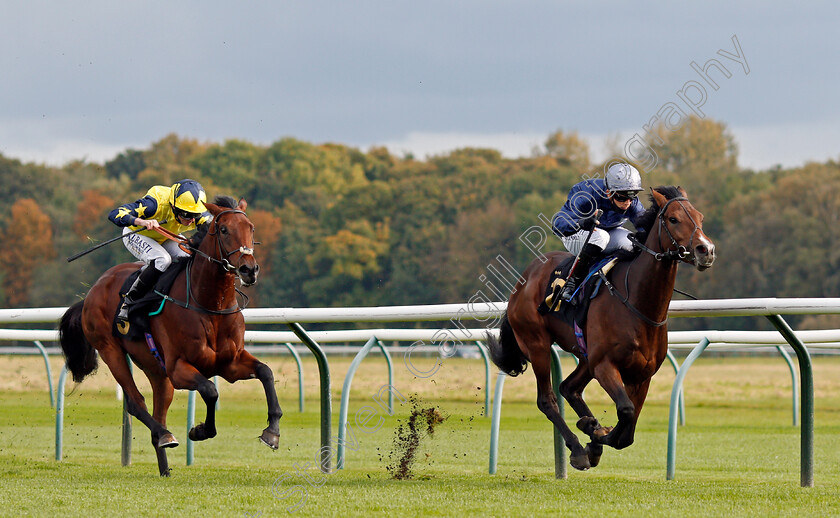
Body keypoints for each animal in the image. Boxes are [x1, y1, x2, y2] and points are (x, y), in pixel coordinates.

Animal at [60, 196, 282, 480]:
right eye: (224, 230)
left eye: (251, 227)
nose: (249, 269)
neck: (210, 305)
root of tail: (92, 291)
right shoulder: (179, 369)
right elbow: (210, 391)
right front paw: (199, 431)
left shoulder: (229, 364)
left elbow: (265, 372)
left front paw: (272, 432)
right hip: (111, 351)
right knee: (136, 404)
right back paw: (165, 435)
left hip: (156, 370)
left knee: (158, 408)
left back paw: (165, 466)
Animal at [486, 187, 716, 472]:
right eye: (673, 219)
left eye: (700, 217)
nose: (706, 250)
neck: (637, 302)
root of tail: (524, 278)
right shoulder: (605, 366)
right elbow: (625, 412)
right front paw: (594, 432)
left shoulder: (642, 375)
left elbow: (627, 432)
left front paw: (595, 431)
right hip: (537, 344)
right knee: (547, 399)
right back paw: (577, 448)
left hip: (586, 356)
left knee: (568, 388)